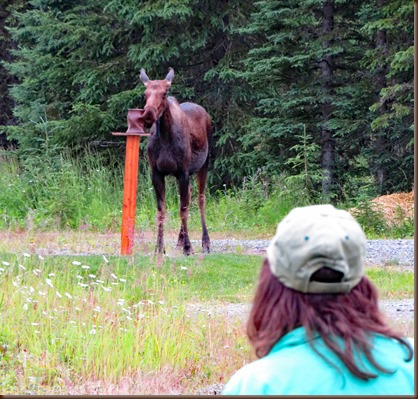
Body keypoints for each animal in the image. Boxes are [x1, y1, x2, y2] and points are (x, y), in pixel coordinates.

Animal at [140, 67, 212, 255]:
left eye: (164, 93)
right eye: (145, 93)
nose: (148, 114)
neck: (165, 137)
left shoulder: (182, 172)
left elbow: (183, 209)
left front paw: (188, 247)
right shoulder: (157, 173)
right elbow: (161, 210)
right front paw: (159, 247)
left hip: (205, 163)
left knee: (200, 198)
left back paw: (205, 242)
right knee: (189, 194)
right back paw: (180, 240)